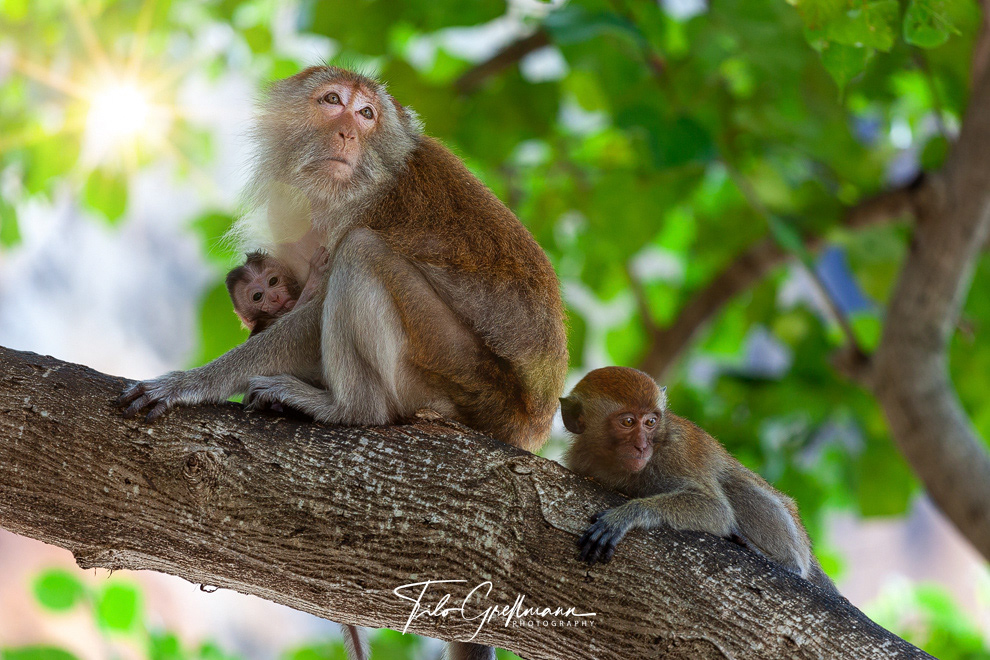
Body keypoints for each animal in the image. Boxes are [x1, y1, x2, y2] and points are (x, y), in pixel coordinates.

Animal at [118, 66, 569, 660]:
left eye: (367, 114)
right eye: (332, 101)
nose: (347, 133)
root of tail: (528, 425)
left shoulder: (364, 209)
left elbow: (316, 309)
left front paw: (190, 384)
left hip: (458, 373)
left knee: (363, 253)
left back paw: (350, 409)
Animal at [560, 367, 839, 596]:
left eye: (651, 422)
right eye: (628, 421)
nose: (641, 446)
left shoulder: (676, 451)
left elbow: (717, 511)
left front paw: (628, 514)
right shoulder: (579, 460)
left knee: (734, 484)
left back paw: (788, 564)